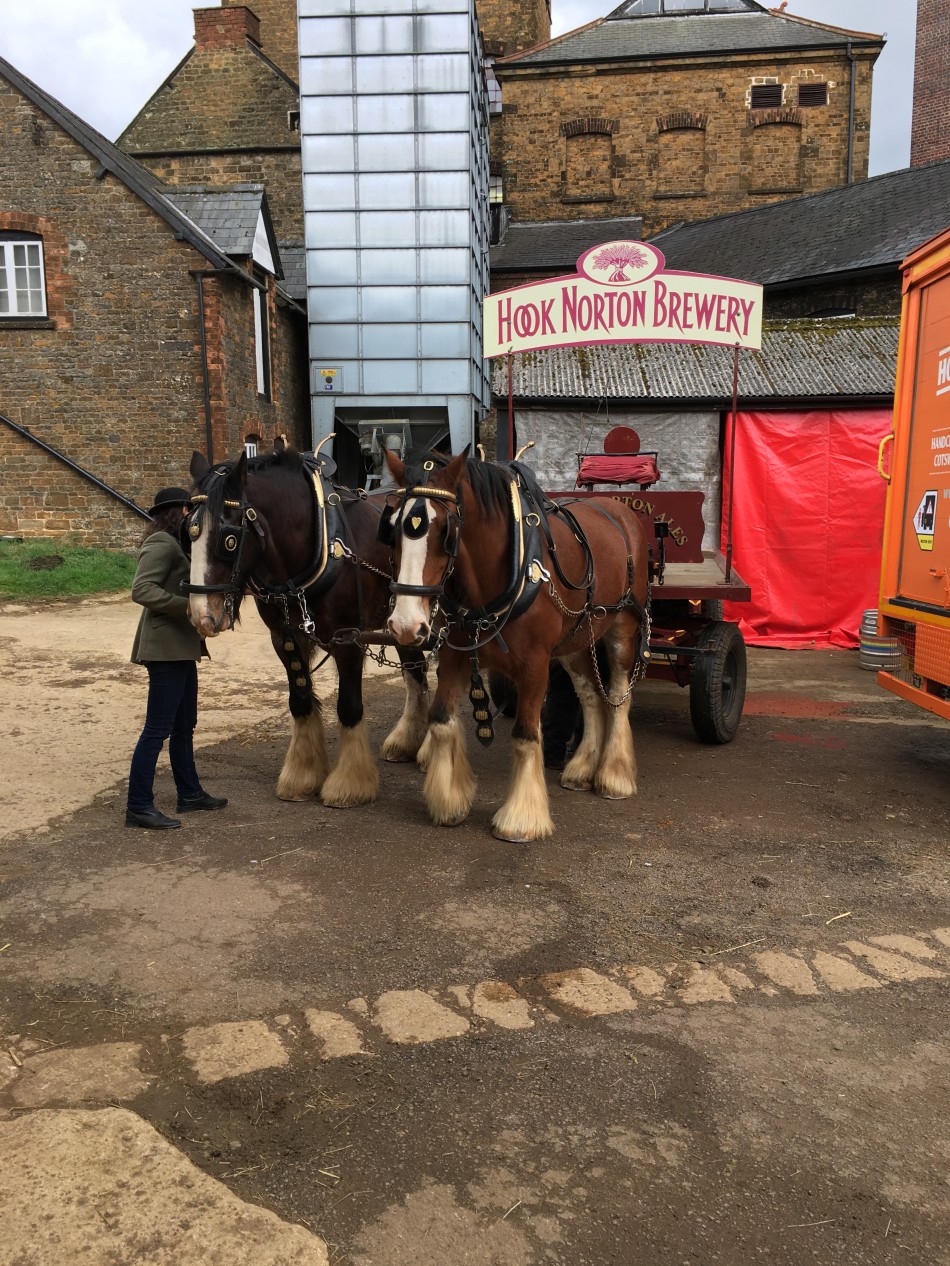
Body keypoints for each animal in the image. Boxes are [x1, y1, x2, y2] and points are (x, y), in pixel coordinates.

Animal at [184, 440, 428, 805]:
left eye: (229, 539)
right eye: (188, 533)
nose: (201, 616)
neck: (320, 540)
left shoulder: (348, 638)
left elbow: (349, 706)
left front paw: (349, 783)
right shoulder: (286, 637)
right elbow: (300, 702)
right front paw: (301, 775)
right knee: (416, 673)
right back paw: (408, 740)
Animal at [382, 450, 653, 845]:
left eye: (446, 531)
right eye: (393, 529)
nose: (404, 624)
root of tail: (619, 510)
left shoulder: (535, 665)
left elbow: (525, 735)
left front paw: (521, 818)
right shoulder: (455, 655)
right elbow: (442, 720)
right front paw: (449, 801)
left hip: (624, 627)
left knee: (618, 694)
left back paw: (614, 775)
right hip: (575, 639)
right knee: (590, 694)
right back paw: (582, 768)